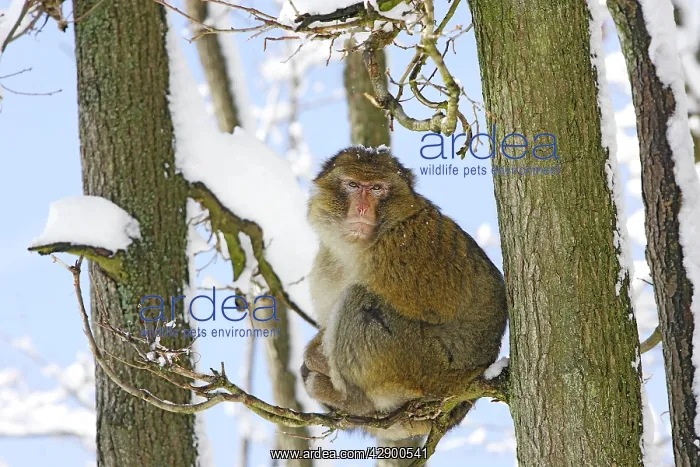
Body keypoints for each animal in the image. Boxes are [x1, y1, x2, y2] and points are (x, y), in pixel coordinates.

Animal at [301, 146, 508, 439]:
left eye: (377, 188)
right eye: (353, 185)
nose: (362, 207)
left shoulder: (404, 248)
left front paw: (315, 358)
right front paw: (313, 355)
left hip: (427, 372)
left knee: (361, 301)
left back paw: (347, 399)